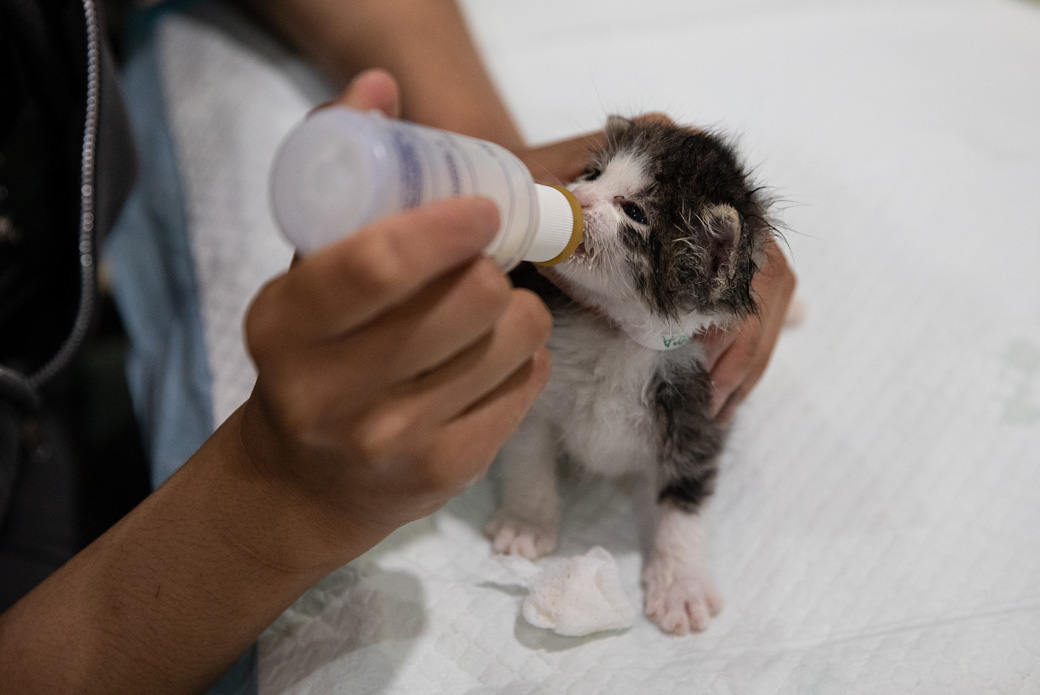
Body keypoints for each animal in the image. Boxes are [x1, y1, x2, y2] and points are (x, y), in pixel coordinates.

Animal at [484, 113, 773, 636]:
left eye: (635, 212)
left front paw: (681, 586)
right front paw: (526, 524)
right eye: (593, 174)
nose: (576, 195)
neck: (623, 336)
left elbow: (686, 499)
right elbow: (527, 454)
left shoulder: (699, 408)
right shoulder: (538, 382)